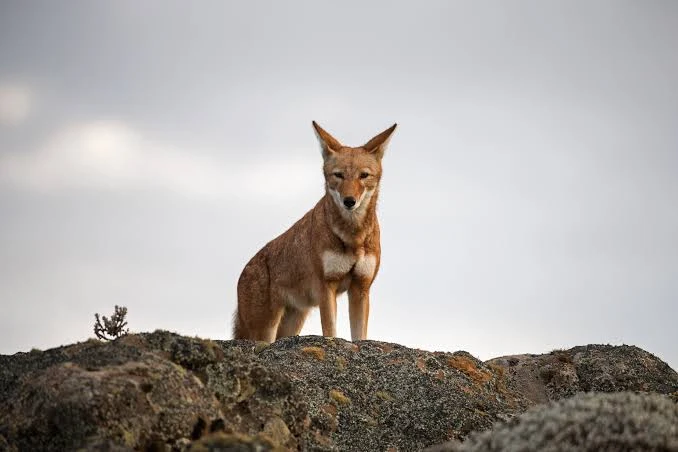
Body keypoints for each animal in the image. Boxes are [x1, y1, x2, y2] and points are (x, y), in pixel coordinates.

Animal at [232, 121, 397, 342]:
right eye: (338, 175)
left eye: (363, 175)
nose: (349, 201)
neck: (352, 236)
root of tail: (243, 273)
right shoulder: (326, 287)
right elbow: (331, 331)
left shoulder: (361, 289)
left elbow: (359, 336)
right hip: (265, 330)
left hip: (292, 324)